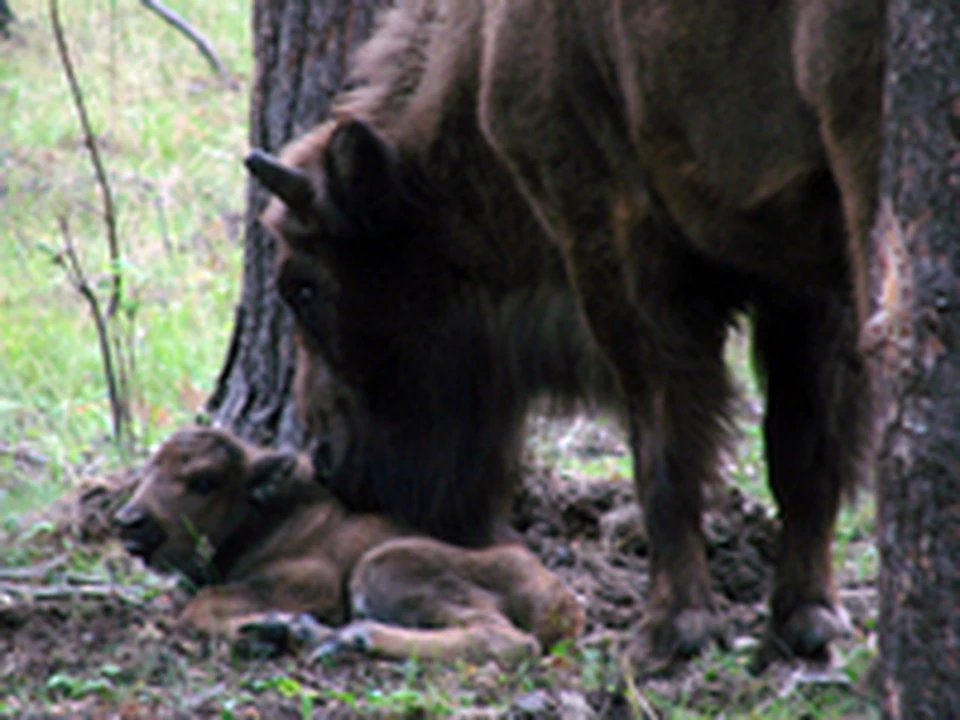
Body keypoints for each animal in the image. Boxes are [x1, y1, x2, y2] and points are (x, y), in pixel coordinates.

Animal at [109, 428, 580, 664]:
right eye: (149, 468)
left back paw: (339, 636)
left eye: (205, 481)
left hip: (383, 566)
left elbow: (200, 605)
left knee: (507, 638)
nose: (128, 522)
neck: (269, 515)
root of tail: (559, 599)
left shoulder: (310, 583)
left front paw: (259, 636)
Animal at [246, 0, 884, 672]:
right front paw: (807, 623)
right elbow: (803, 454)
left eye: (304, 289)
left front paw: (669, 632)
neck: (483, 47)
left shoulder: (609, 243)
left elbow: (665, 451)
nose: (327, 462)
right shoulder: (807, 287)